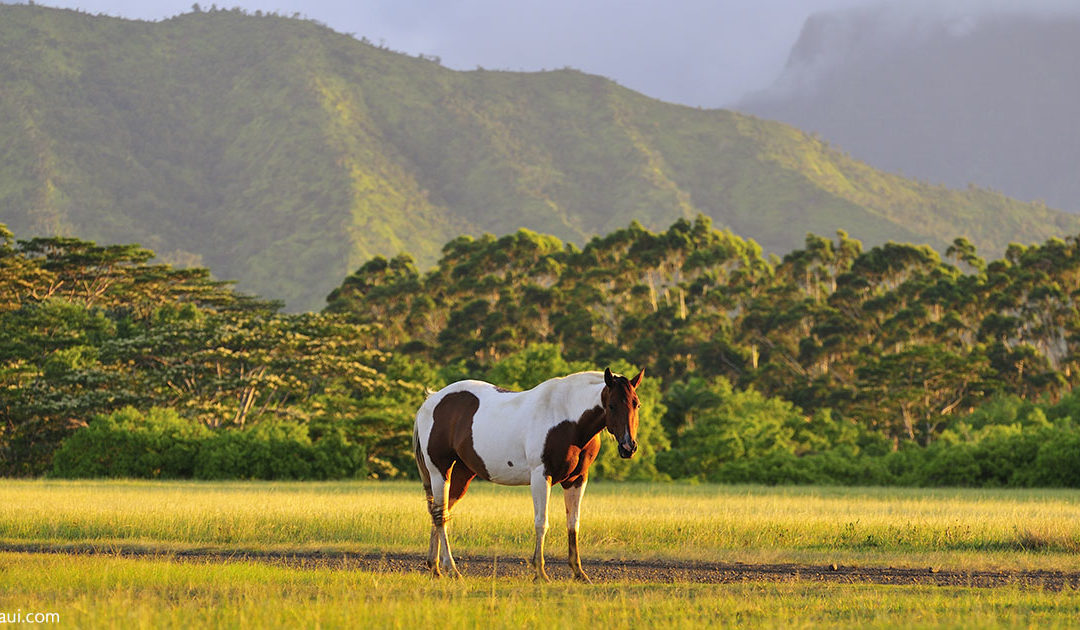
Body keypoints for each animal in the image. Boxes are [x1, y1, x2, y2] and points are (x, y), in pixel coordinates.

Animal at [414, 369, 643, 583]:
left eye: (636, 404)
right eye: (611, 405)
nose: (628, 447)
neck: (567, 418)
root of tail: (431, 401)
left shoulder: (577, 479)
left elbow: (573, 523)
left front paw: (579, 573)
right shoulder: (541, 476)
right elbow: (542, 522)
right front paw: (540, 573)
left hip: (463, 474)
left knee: (440, 513)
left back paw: (435, 567)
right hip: (439, 471)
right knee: (440, 516)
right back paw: (451, 569)